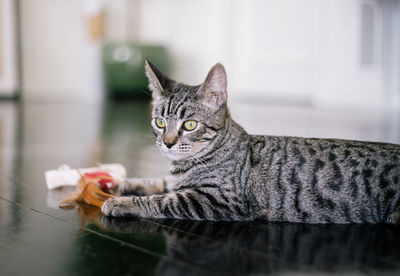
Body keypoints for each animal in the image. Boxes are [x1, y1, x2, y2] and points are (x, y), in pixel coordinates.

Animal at [102, 59, 400, 223]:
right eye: (160, 122)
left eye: (190, 125)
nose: (168, 142)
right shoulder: (177, 181)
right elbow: (157, 182)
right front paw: (120, 183)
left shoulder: (217, 199)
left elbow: (164, 200)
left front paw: (122, 203)